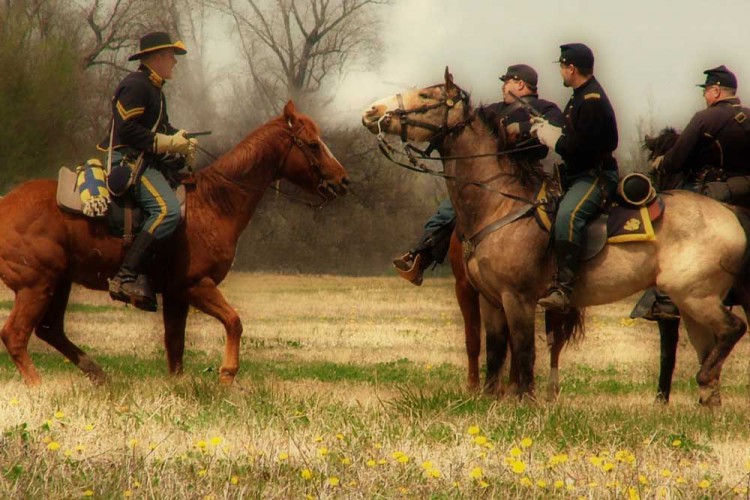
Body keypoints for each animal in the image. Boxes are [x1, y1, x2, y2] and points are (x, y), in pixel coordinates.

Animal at [0, 100, 349, 386]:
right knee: (15, 335)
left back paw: (98, 374)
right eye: (313, 144)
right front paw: (227, 374)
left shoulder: (175, 296)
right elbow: (234, 322)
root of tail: (5, 204)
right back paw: (40, 387)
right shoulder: (194, 286)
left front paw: (179, 388)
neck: (215, 202)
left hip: (59, 283)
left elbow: (175, 345)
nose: (343, 181)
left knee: (50, 329)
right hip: (36, 285)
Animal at [363, 68, 747, 406]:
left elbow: (523, 351)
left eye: (427, 96)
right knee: (708, 346)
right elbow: (495, 351)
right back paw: (708, 399)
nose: (372, 111)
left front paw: (523, 401)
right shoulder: (490, 299)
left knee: (732, 329)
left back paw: (703, 382)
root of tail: (729, 215)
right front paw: (490, 400)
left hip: (695, 296)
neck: (499, 204)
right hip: (690, 303)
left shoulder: (517, 298)